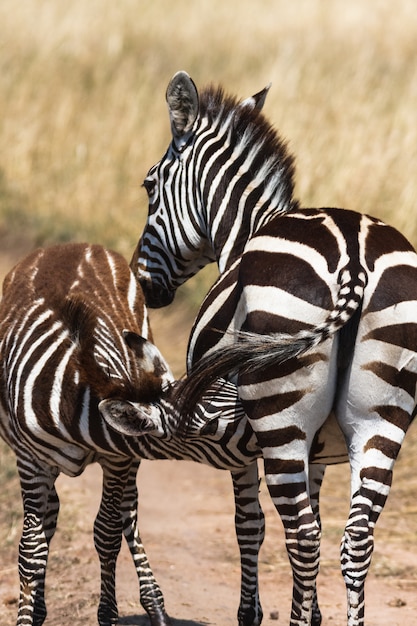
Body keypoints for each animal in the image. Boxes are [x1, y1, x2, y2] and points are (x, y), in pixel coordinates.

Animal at [133, 72, 417, 624]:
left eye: (150, 186)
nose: (144, 285)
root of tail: (353, 252)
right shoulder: (322, 450)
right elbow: (321, 521)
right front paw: (315, 613)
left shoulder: (238, 446)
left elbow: (250, 527)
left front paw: (254, 613)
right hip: (382, 420)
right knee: (355, 540)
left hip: (280, 418)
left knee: (301, 538)